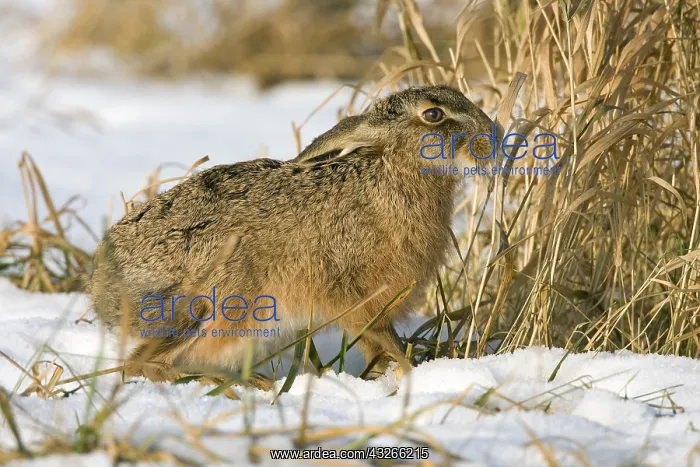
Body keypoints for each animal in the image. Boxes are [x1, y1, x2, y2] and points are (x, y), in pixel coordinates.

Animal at [86, 85, 500, 385]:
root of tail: (103, 288)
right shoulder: (357, 296)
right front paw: (409, 373)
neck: (393, 170)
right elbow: (382, 338)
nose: (492, 136)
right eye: (434, 114)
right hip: (224, 305)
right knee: (150, 363)